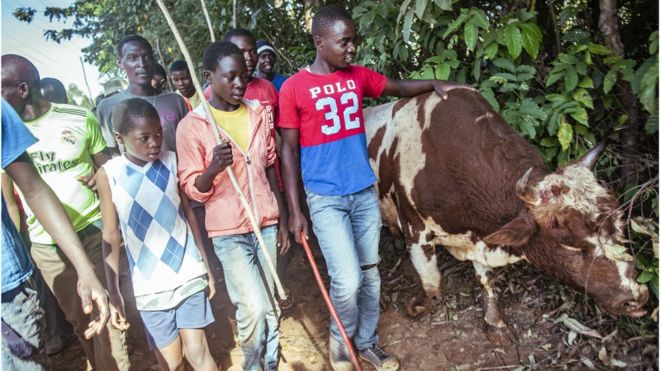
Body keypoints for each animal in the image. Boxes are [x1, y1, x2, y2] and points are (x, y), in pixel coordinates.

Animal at [366, 90, 648, 346]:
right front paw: (416, 307)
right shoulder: (415, 227)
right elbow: (432, 282)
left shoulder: (480, 238)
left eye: (619, 222)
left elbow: (485, 279)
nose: (636, 297)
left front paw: (494, 323)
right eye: (570, 243)